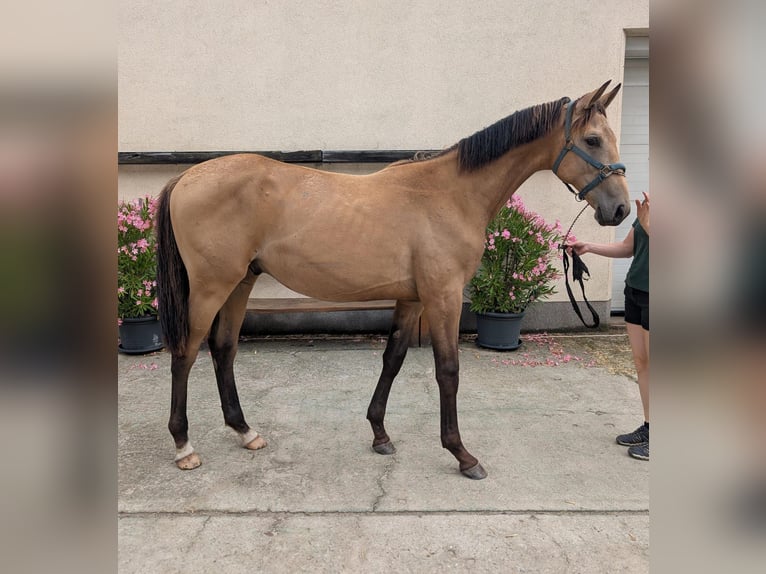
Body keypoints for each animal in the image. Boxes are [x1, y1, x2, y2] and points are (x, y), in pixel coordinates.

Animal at [155, 80, 629, 480]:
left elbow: (393, 359)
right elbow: (448, 370)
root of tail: (187, 177)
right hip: (211, 287)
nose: (621, 209)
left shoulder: (413, 299)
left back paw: (244, 431)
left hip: (241, 283)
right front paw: (462, 455)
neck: (450, 193)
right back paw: (183, 446)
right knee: (186, 353)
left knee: (223, 349)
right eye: (592, 140)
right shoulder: (443, 296)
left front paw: (380, 434)